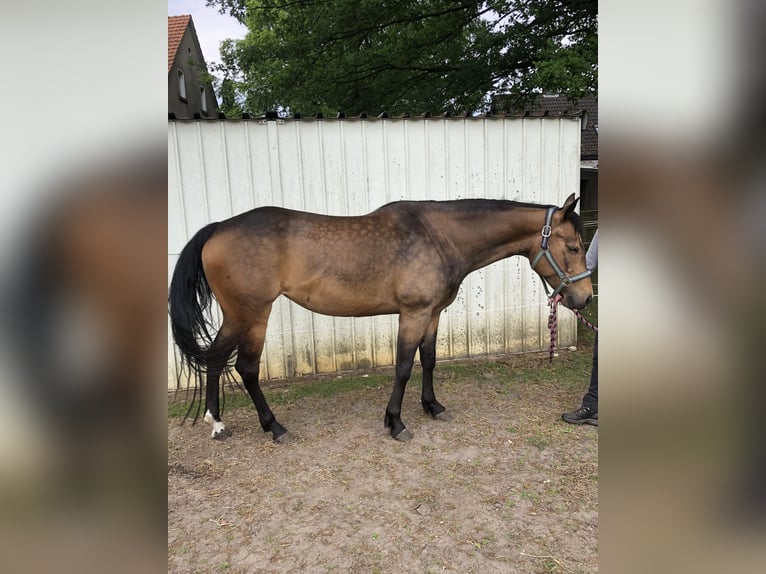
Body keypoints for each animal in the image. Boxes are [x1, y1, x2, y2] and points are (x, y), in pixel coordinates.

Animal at [170, 196, 592, 444]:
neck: (440, 236)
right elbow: (404, 367)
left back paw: (217, 422)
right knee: (246, 368)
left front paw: (432, 407)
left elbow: (428, 360)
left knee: (214, 358)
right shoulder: (413, 313)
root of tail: (218, 229)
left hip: (236, 316)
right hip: (253, 314)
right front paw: (396, 423)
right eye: (572, 247)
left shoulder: (432, 314)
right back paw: (273, 426)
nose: (585, 298)